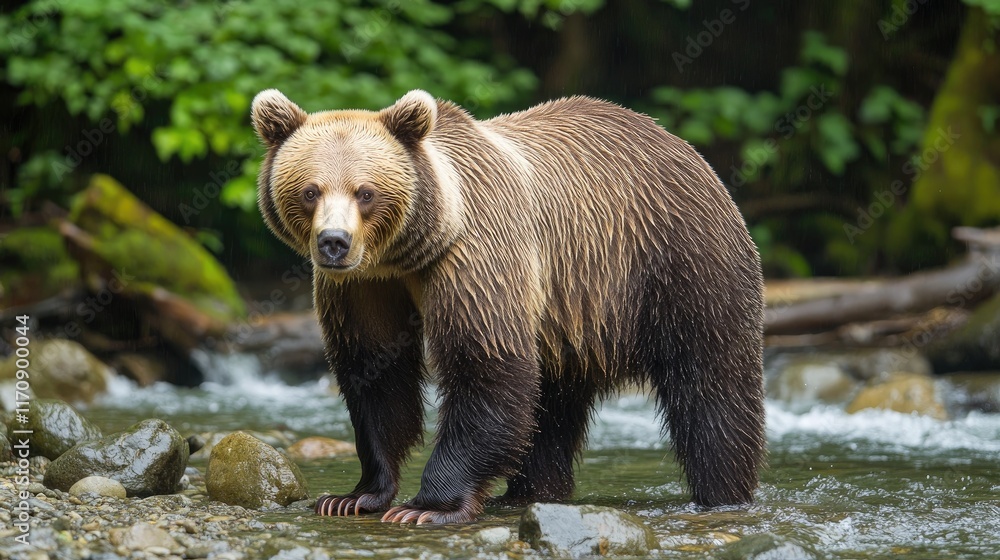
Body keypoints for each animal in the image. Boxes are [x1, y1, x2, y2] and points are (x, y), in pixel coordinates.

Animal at [250, 88, 766, 524]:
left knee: (712, 383)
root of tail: (681, 145)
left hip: (677, 262)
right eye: (310, 190)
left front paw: (427, 506)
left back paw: (721, 493)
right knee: (552, 404)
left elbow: (486, 367)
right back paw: (532, 491)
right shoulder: (362, 288)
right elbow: (376, 375)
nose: (334, 242)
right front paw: (353, 496)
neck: (405, 254)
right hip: (571, 313)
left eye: (365, 192)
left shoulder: (475, 258)